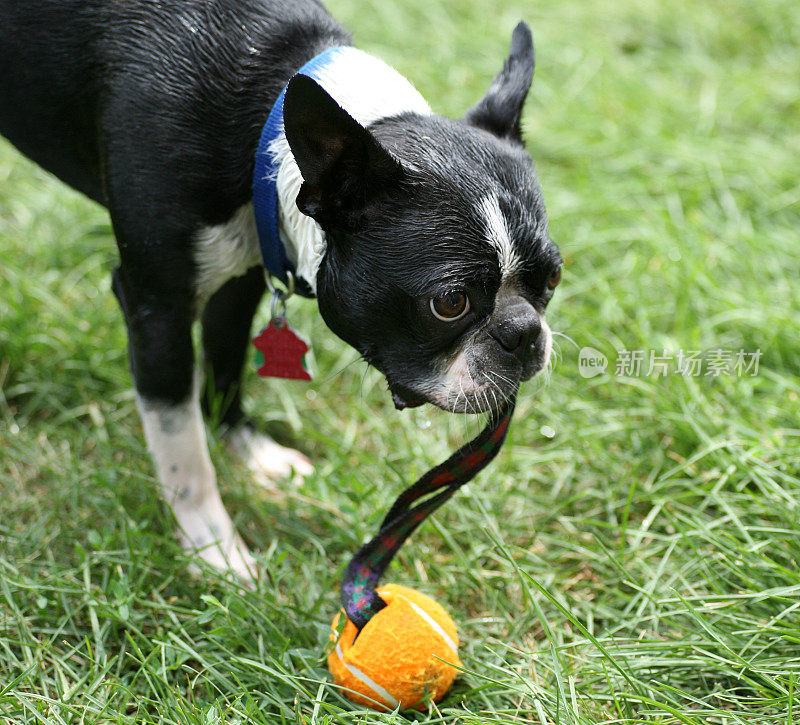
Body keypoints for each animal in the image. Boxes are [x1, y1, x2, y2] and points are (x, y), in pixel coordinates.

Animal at [0, 0, 564, 576]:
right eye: (450, 303)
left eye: (553, 278)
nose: (524, 333)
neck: (262, 133)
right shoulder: (158, 309)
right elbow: (184, 452)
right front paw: (215, 550)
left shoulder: (243, 274)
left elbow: (226, 362)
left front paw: (249, 452)